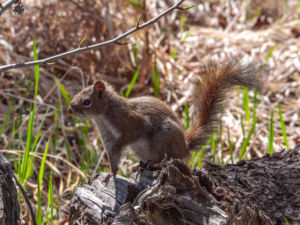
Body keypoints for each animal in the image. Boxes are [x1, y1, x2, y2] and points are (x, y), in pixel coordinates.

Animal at [68, 59, 262, 179]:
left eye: (86, 102)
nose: (70, 109)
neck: (104, 115)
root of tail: (184, 147)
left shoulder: (131, 121)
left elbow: (130, 135)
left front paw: (117, 150)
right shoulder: (107, 136)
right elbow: (113, 157)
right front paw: (112, 174)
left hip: (164, 139)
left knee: (167, 157)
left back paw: (154, 163)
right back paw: (137, 166)